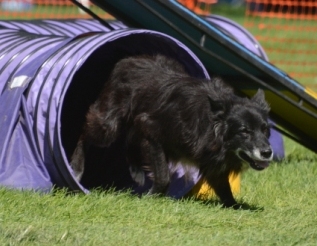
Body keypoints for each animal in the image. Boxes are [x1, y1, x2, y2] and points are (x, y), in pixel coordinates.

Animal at [70, 54, 272, 208]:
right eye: (244, 131)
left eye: (265, 129)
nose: (267, 152)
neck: (210, 122)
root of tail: (127, 60)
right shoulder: (151, 130)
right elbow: (163, 176)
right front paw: (151, 197)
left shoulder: (211, 160)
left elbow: (224, 188)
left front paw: (234, 206)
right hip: (108, 126)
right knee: (85, 133)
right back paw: (76, 167)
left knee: (128, 140)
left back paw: (136, 170)